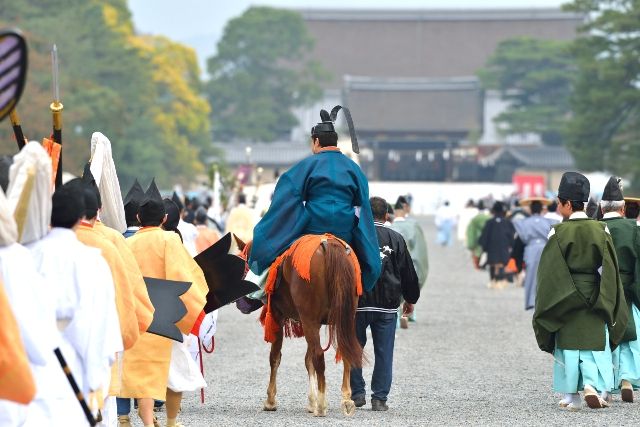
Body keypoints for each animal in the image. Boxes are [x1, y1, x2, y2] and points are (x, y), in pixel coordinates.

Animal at [244, 236, 364, 416]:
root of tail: (328, 244)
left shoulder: (280, 315)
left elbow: (275, 357)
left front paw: (271, 401)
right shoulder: (313, 322)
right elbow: (308, 360)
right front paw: (311, 401)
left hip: (309, 320)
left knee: (319, 355)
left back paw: (321, 405)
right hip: (344, 318)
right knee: (344, 352)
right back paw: (346, 399)